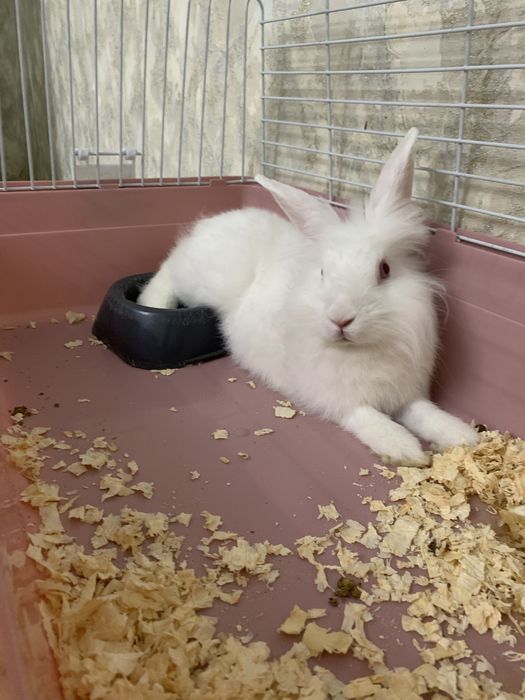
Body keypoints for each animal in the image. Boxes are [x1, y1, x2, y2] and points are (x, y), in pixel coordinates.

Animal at [138, 128, 480, 465]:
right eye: (323, 272)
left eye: (384, 270)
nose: (341, 318)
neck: (357, 351)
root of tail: (210, 222)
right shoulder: (340, 400)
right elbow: (369, 418)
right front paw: (404, 449)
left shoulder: (407, 394)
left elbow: (426, 413)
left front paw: (463, 436)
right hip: (200, 278)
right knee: (168, 269)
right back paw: (152, 302)